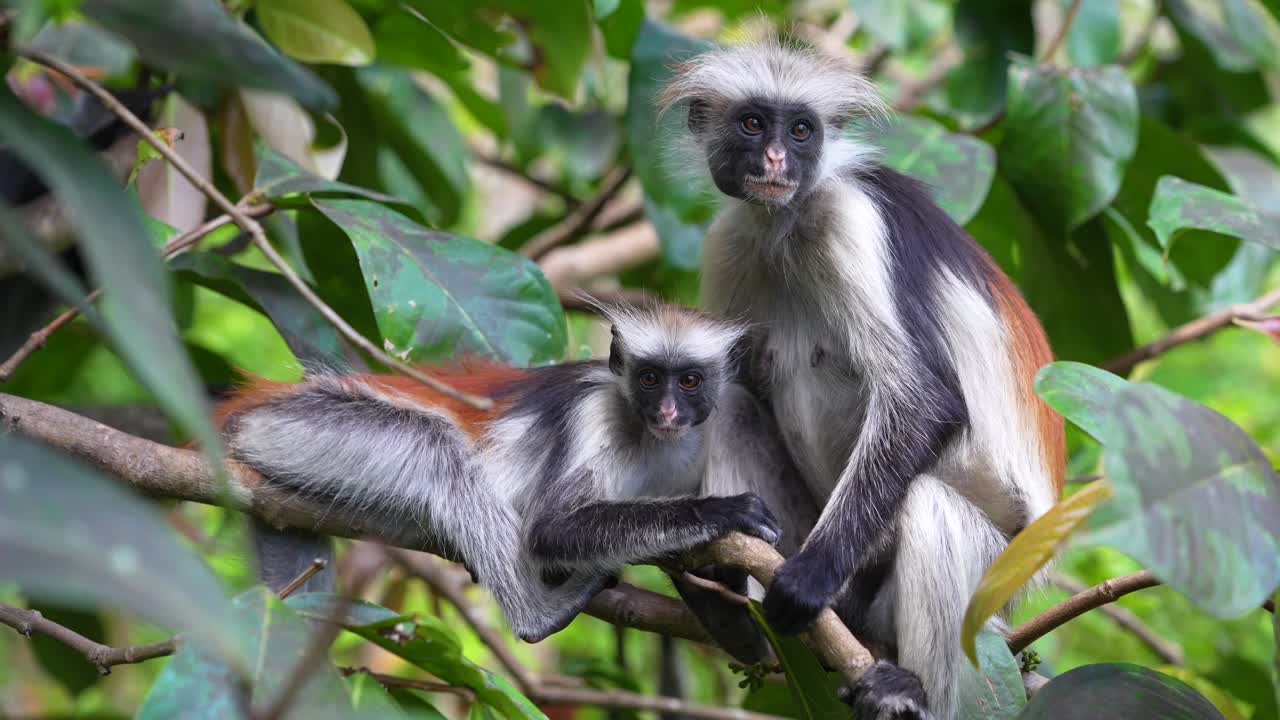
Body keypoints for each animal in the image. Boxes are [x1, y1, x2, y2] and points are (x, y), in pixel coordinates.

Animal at [214, 302, 797, 654]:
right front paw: (723, 512)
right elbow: (550, 530)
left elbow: (746, 643)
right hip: (297, 426)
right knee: (436, 450)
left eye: (690, 381)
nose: (669, 411)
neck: (653, 436)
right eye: (651, 379)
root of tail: (252, 408)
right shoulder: (593, 410)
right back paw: (538, 615)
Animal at [658, 39, 1066, 720]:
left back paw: (908, 686)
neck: (787, 226)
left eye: (801, 130)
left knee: (930, 506)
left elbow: (925, 400)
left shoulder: (849, 218)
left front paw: (813, 576)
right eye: (752, 124)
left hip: (1001, 568)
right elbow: (713, 388)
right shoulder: (733, 239)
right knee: (735, 404)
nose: (776, 158)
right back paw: (732, 616)